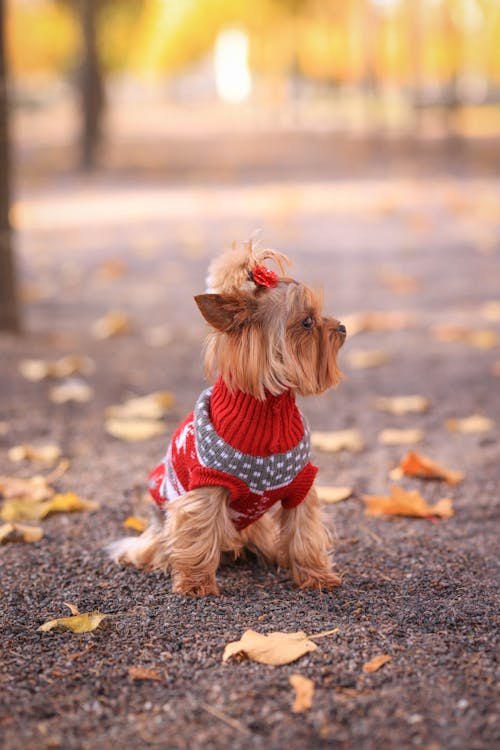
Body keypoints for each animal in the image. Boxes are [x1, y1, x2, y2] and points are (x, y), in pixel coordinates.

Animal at [108, 244, 346, 596]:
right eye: (306, 322)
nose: (342, 327)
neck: (268, 409)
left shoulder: (300, 485)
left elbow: (304, 531)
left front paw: (316, 576)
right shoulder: (206, 486)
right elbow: (198, 532)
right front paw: (196, 585)